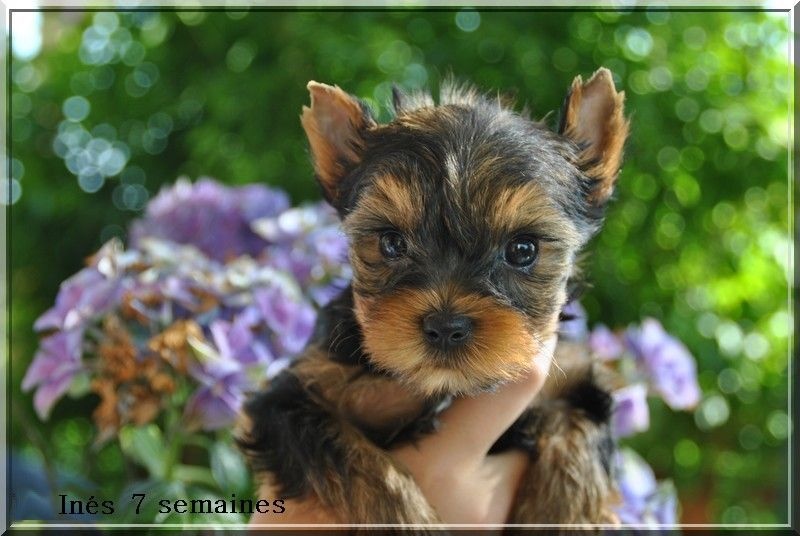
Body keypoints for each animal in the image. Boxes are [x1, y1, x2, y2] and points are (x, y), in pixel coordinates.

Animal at [238, 67, 629, 525]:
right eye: (391, 243)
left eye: (523, 249)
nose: (446, 326)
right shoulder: (290, 398)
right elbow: (353, 456)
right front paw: (411, 522)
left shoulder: (574, 380)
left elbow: (581, 433)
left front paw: (557, 516)